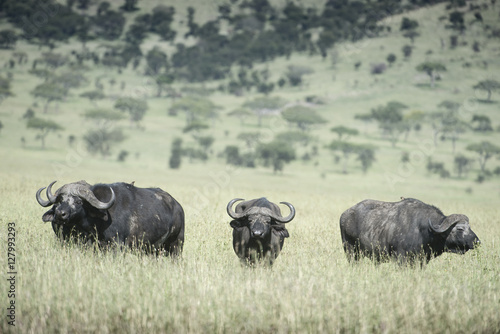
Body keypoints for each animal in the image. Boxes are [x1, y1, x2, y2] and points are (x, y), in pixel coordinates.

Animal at [37, 180, 185, 256]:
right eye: (60, 200)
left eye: (78, 201)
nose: (60, 214)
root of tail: (178, 207)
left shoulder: (117, 246)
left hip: (176, 245)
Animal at [340, 197, 480, 264]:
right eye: (460, 228)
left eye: (470, 227)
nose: (477, 241)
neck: (425, 230)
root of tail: (345, 214)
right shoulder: (401, 258)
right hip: (351, 251)